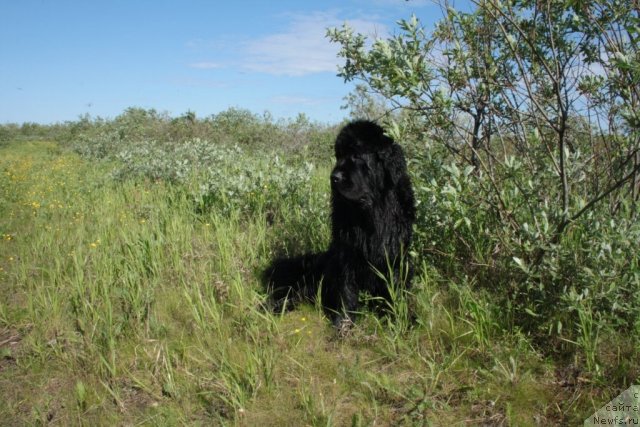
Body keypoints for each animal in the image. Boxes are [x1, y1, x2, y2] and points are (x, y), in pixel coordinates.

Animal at [264, 120, 418, 328]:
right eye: (339, 156)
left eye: (356, 155)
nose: (334, 177)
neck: (371, 213)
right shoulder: (346, 251)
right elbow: (346, 288)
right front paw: (344, 323)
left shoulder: (394, 253)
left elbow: (394, 286)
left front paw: (399, 318)